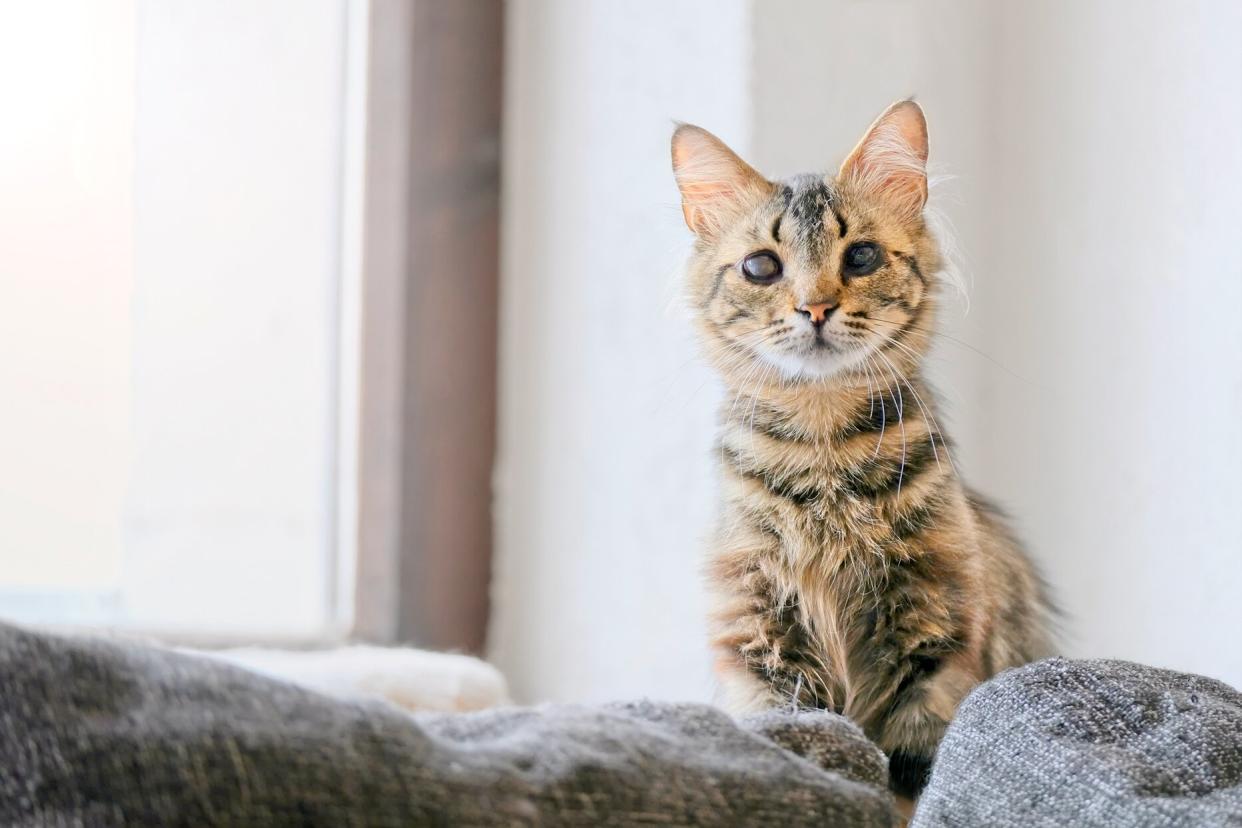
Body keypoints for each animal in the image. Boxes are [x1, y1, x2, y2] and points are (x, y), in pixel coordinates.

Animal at [675, 101, 1053, 794]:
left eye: (862, 257)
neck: (822, 453)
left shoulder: (935, 629)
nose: (816, 308)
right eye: (761, 267)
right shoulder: (761, 630)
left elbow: (911, 777)